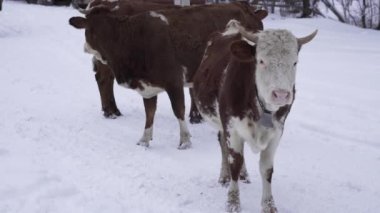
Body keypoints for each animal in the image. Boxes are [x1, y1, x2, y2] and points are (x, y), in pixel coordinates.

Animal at [68, 1, 268, 150]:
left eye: (98, 31)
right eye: (90, 28)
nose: (86, 47)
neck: (135, 39)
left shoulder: (174, 81)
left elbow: (178, 110)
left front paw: (185, 140)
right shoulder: (147, 85)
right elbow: (149, 112)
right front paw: (144, 139)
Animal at [193, 20, 318, 213]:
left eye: (294, 62)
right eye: (261, 61)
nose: (281, 95)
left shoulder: (277, 132)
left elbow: (266, 168)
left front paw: (269, 205)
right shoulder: (231, 127)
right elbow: (235, 162)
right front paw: (233, 202)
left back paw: (244, 174)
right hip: (222, 123)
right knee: (223, 146)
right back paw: (224, 176)